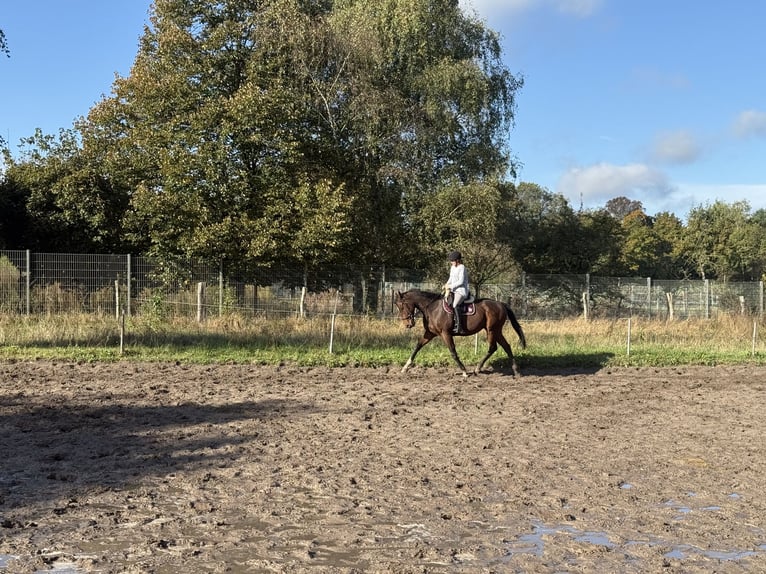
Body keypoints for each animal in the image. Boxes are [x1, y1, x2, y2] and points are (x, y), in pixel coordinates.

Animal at [396, 290, 528, 380]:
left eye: (401, 305)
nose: (408, 324)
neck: (432, 308)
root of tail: (501, 304)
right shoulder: (430, 333)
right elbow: (417, 347)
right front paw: (405, 367)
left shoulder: (445, 334)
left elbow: (453, 352)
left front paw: (464, 371)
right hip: (496, 331)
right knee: (506, 346)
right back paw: (516, 371)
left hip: (491, 330)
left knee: (493, 347)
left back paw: (477, 369)